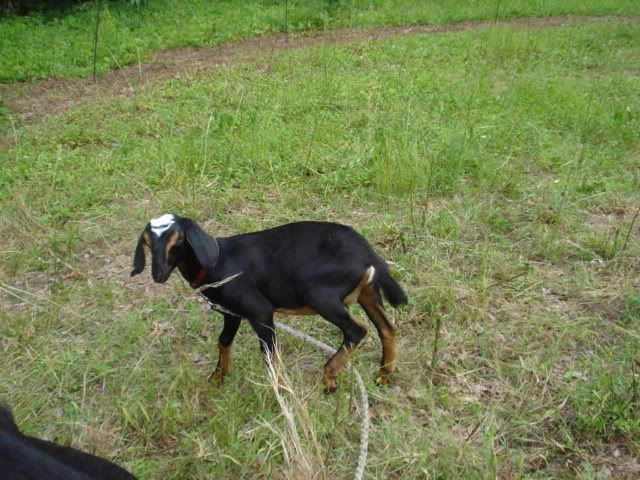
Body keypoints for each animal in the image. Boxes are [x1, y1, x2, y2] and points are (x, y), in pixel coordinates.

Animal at [131, 213, 408, 392]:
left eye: (178, 240)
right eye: (147, 243)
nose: (158, 274)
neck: (219, 263)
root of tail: (368, 254)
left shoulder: (260, 312)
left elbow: (270, 355)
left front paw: (281, 393)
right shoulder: (232, 313)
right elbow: (223, 341)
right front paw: (217, 378)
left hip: (321, 295)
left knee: (357, 330)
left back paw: (330, 376)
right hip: (368, 293)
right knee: (387, 328)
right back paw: (384, 374)